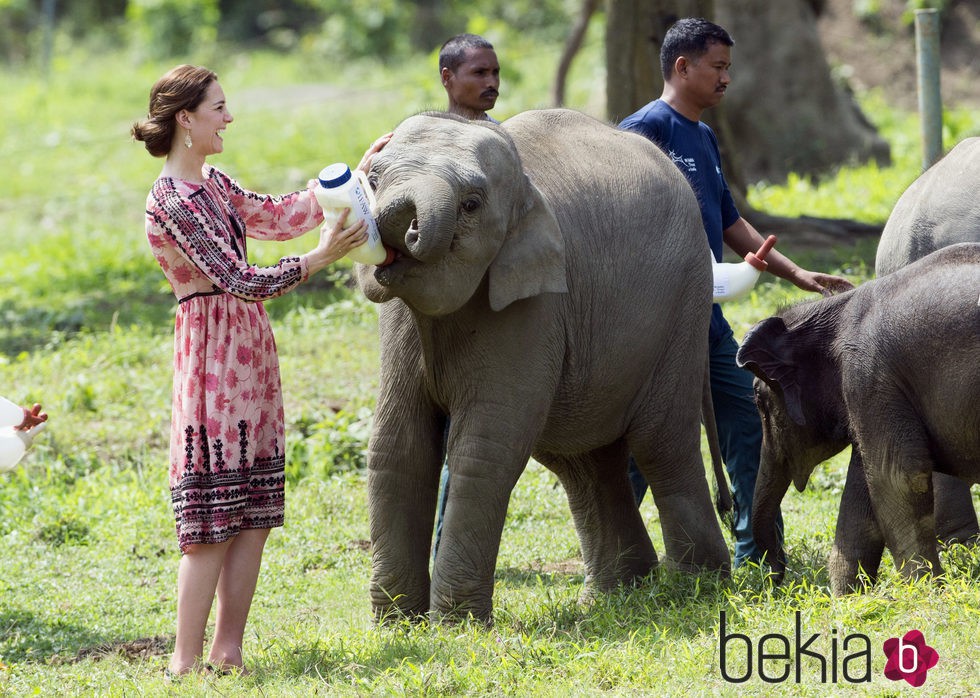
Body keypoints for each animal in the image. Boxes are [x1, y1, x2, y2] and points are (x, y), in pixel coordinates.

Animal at [356, 109, 732, 620]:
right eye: (373, 180)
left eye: (471, 205)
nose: (401, 228)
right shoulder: (400, 321)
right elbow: (398, 444)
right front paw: (398, 625)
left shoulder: (533, 302)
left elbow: (485, 447)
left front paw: (455, 626)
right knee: (582, 460)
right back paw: (617, 593)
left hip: (683, 303)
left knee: (660, 442)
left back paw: (698, 585)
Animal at [740, 243, 976, 592]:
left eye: (759, 401)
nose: (776, 581)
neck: (834, 309)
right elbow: (862, 487)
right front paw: (850, 597)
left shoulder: (869, 376)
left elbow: (895, 476)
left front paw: (925, 591)